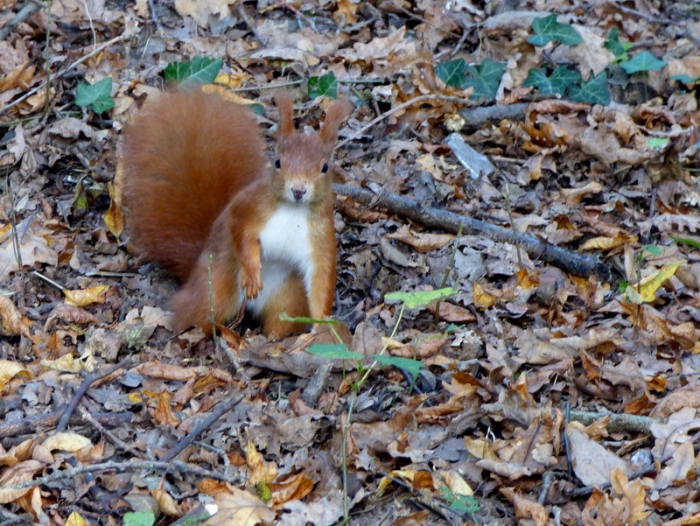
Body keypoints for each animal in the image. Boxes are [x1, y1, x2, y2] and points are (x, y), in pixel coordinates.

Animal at [121, 89, 352, 336]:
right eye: (278, 162)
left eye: (325, 167)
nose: (298, 190)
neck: (293, 209)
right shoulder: (248, 207)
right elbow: (241, 233)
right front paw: (251, 274)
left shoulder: (320, 235)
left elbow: (322, 278)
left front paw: (323, 325)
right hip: (216, 287)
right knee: (195, 313)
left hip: (287, 296)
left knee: (280, 323)